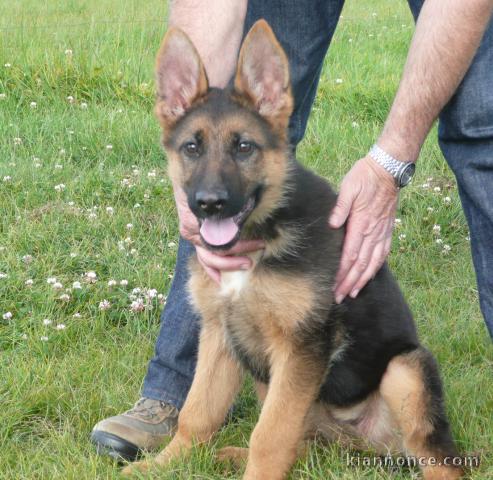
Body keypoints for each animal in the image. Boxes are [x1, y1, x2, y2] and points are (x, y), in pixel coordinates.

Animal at [123, 18, 462, 480]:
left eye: (244, 147)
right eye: (191, 147)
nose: (209, 203)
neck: (264, 233)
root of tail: (362, 444)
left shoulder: (301, 347)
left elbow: (269, 436)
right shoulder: (220, 335)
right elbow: (198, 413)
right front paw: (164, 464)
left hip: (405, 370)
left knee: (436, 454)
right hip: (271, 380)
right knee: (303, 445)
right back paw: (233, 455)